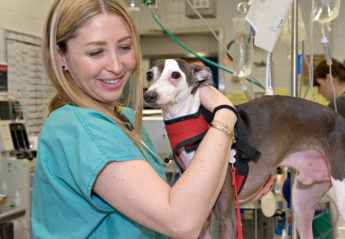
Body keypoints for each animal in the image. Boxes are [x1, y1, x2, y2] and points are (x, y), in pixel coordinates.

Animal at [142, 58, 344, 239]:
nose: (149, 95)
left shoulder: (227, 218)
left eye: (175, 74)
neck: (201, 128)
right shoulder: (201, 219)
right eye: (149, 74)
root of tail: (339, 118)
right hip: (303, 200)